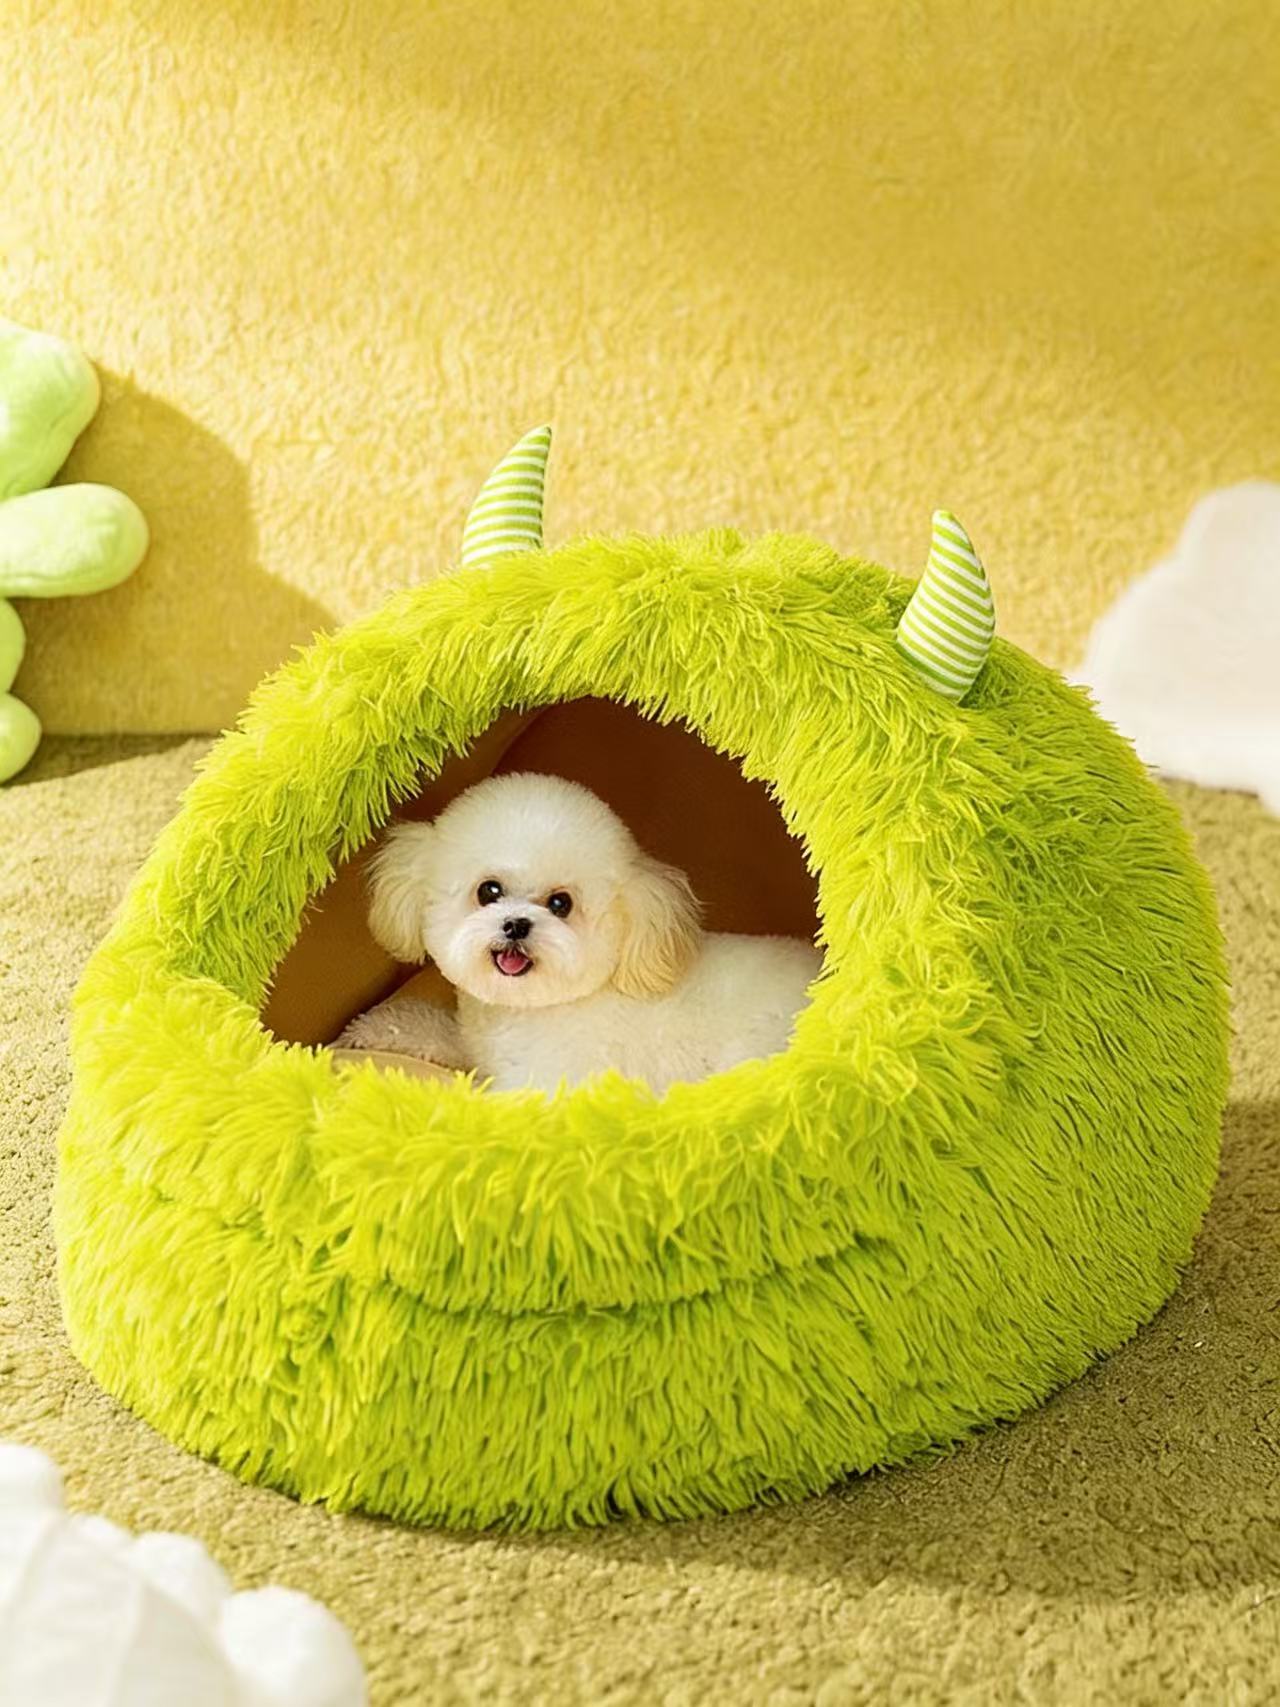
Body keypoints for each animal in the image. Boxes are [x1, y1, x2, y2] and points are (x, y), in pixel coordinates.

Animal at [336, 772, 820, 1094]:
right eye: (488, 891)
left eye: (560, 904)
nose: (517, 925)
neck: (529, 1010)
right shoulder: (478, 1046)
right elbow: (434, 1031)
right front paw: (379, 1029)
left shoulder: (543, 1084)